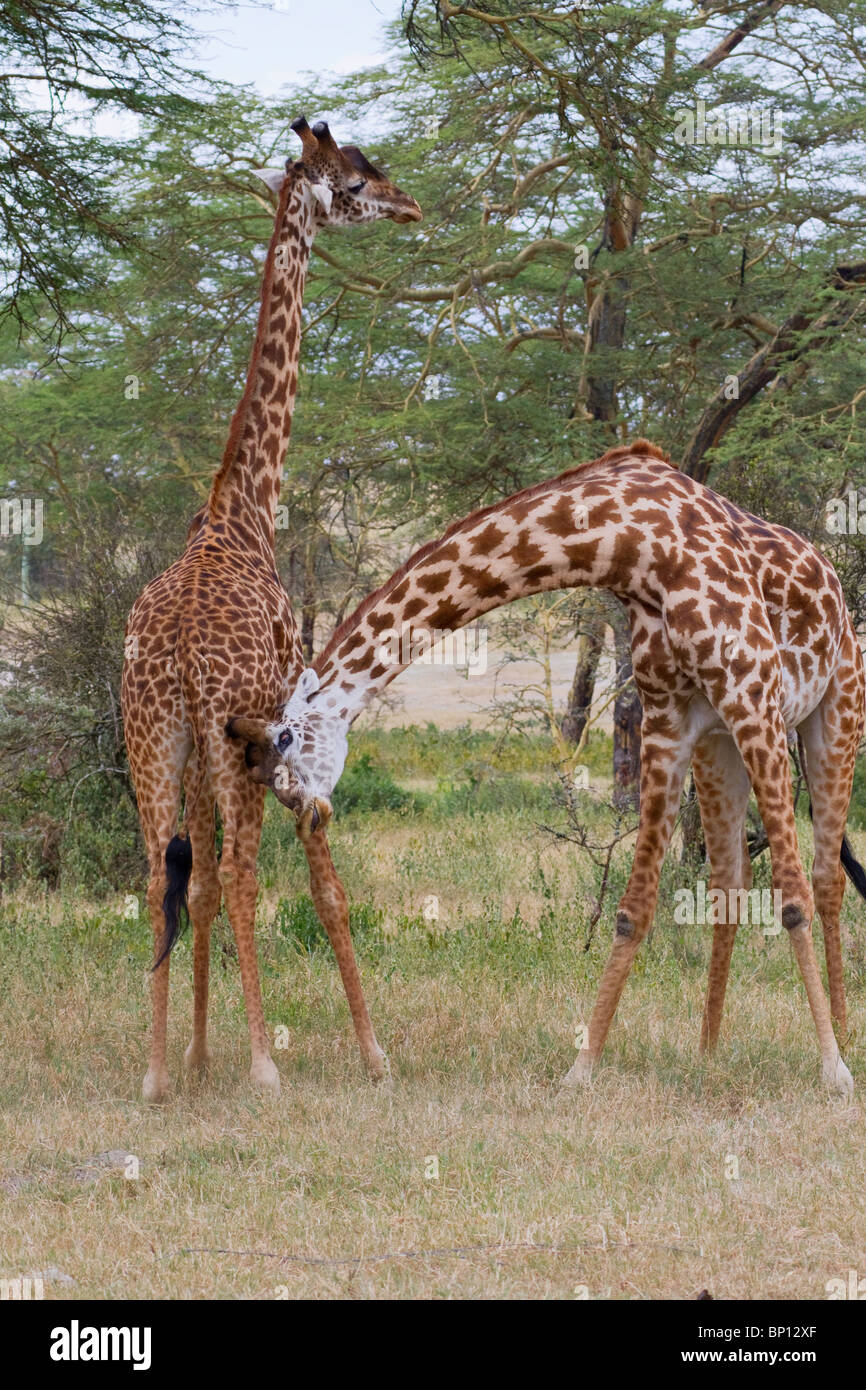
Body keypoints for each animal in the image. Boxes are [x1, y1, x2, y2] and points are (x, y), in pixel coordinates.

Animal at [120, 116, 419, 1095]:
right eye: (356, 181)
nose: (410, 203)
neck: (244, 511)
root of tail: (174, 650)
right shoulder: (286, 722)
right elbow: (322, 887)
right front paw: (372, 1054)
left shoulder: (209, 749)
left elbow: (200, 887)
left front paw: (197, 1053)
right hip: (221, 737)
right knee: (245, 873)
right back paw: (262, 1066)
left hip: (152, 738)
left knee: (161, 875)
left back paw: (156, 1075)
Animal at [233, 439, 866, 1089]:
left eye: (286, 737)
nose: (305, 810)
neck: (634, 549)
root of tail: (837, 589)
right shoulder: (670, 717)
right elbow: (633, 908)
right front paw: (581, 1069)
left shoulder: (753, 698)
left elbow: (791, 899)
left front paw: (833, 1071)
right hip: (718, 747)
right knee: (728, 880)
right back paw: (709, 1050)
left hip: (834, 711)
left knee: (825, 876)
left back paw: (844, 1035)